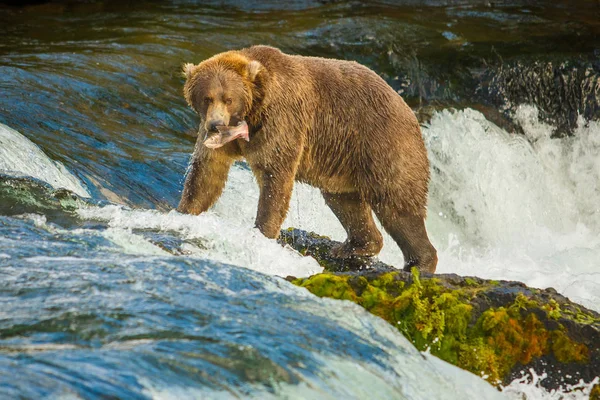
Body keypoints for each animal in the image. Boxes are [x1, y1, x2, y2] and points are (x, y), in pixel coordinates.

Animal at [177, 45, 436, 274]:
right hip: (342, 163)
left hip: (382, 144)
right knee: (345, 202)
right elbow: (206, 174)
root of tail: (409, 111)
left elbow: (275, 178)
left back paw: (420, 263)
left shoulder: (282, 120)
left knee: (396, 204)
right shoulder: (219, 140)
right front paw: (186, 212)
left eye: (228, 98)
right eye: (207, 98)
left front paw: (262, 234)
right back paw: (352, 247)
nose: (216, 124)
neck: (251, 113)